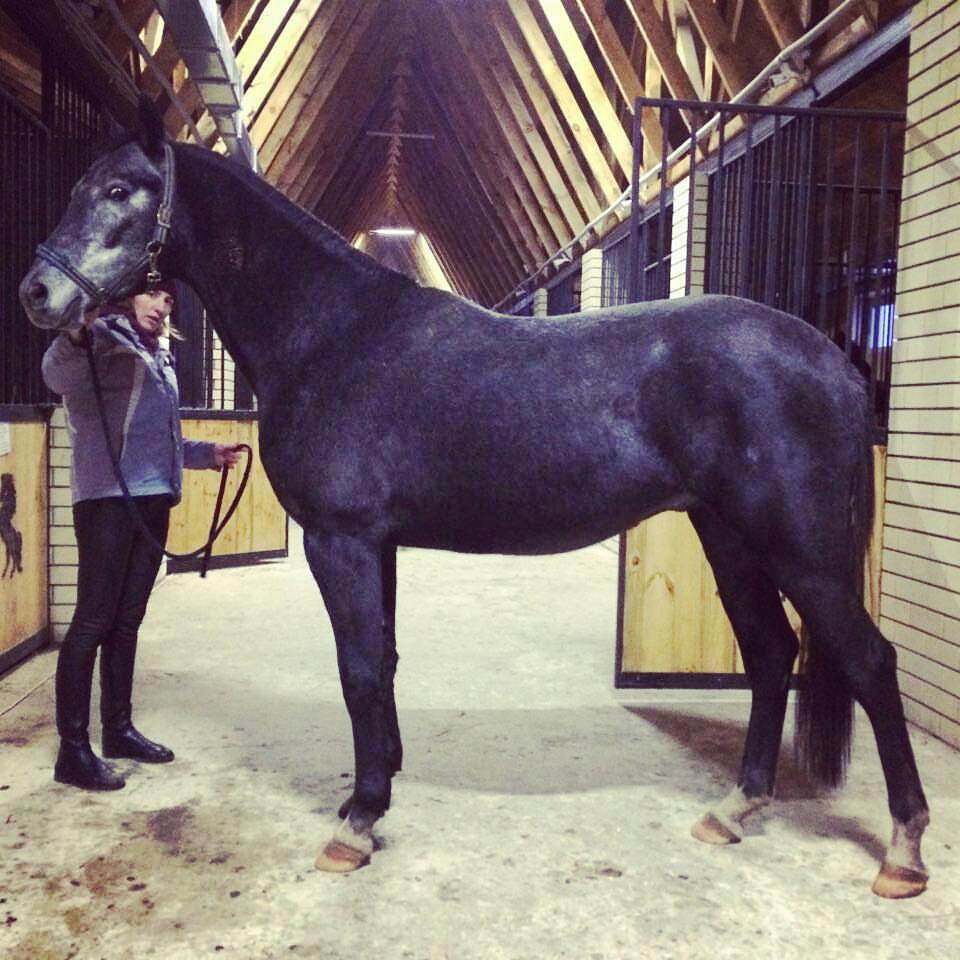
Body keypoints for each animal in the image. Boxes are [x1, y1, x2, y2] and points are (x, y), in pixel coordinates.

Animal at [20, 98, 929, 898]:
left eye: (119, 190)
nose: (37, 294)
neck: (328, 333)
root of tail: (833, 360)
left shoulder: (341, 539)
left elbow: (358, 669)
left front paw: (357, 824)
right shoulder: (376, 544)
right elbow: (382, 661)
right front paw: (374, 790)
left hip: (799, 551)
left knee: (867, 662)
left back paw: (903, 851)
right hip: (730, 537)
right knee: (772, 653)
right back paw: (735, 810)